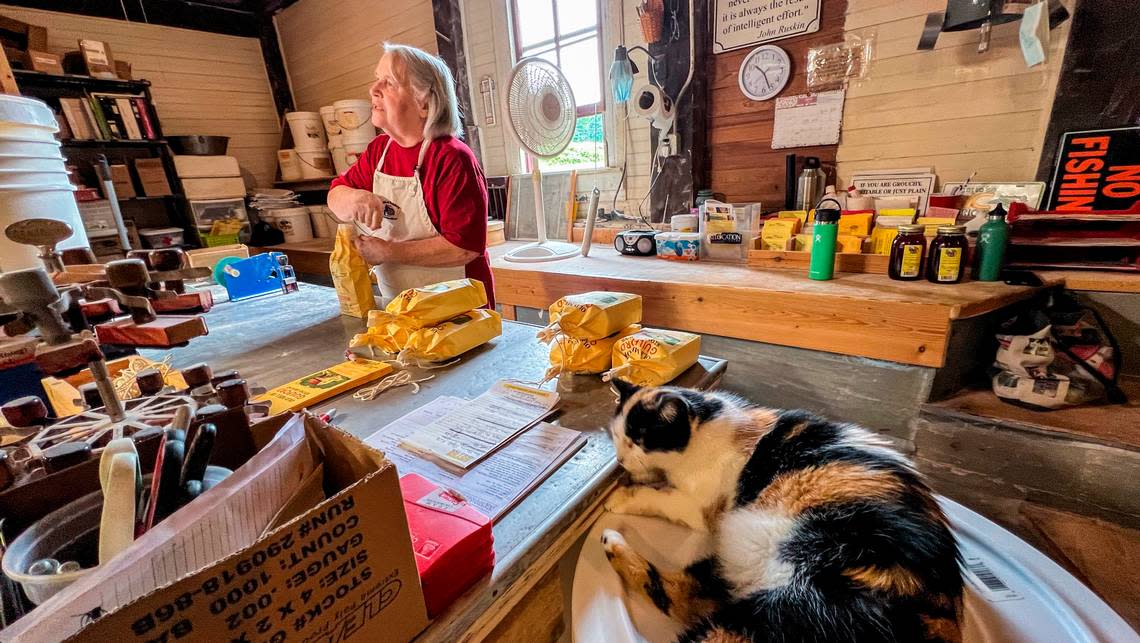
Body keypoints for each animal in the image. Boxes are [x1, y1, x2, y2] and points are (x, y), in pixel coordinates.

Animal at [606, 380, 962, 643]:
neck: (707, 430)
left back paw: (611, 540)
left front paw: (620, 498)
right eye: (617, 437)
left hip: (789, 603)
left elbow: (658, 498)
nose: (620, 461)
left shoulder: (695, 507)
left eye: (638, 439)